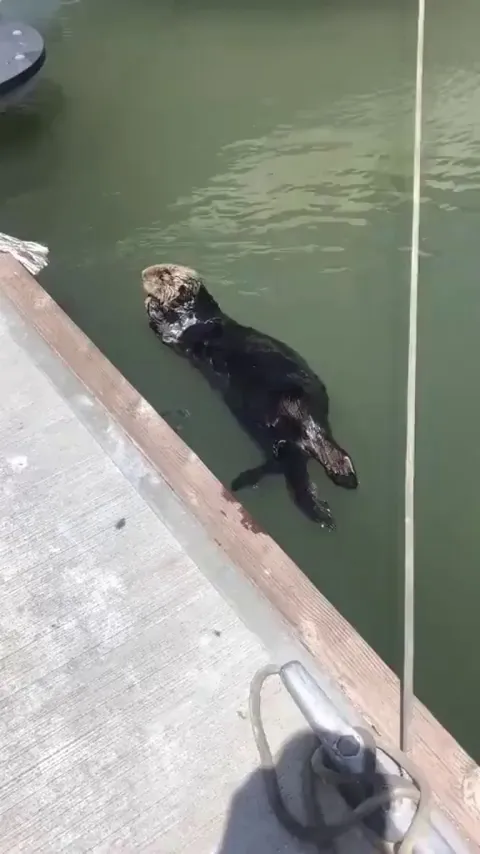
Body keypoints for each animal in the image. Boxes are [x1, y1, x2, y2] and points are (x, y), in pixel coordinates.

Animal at [142, 264, 358, 529]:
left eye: (164, 274)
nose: (143, 274)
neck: (196, 312)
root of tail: (308, 426)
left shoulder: (184, 328)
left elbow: (166, 328)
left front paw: (151, 303)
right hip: (278, 441)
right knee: (290, 470)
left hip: (275, 424)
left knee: (286, 469)